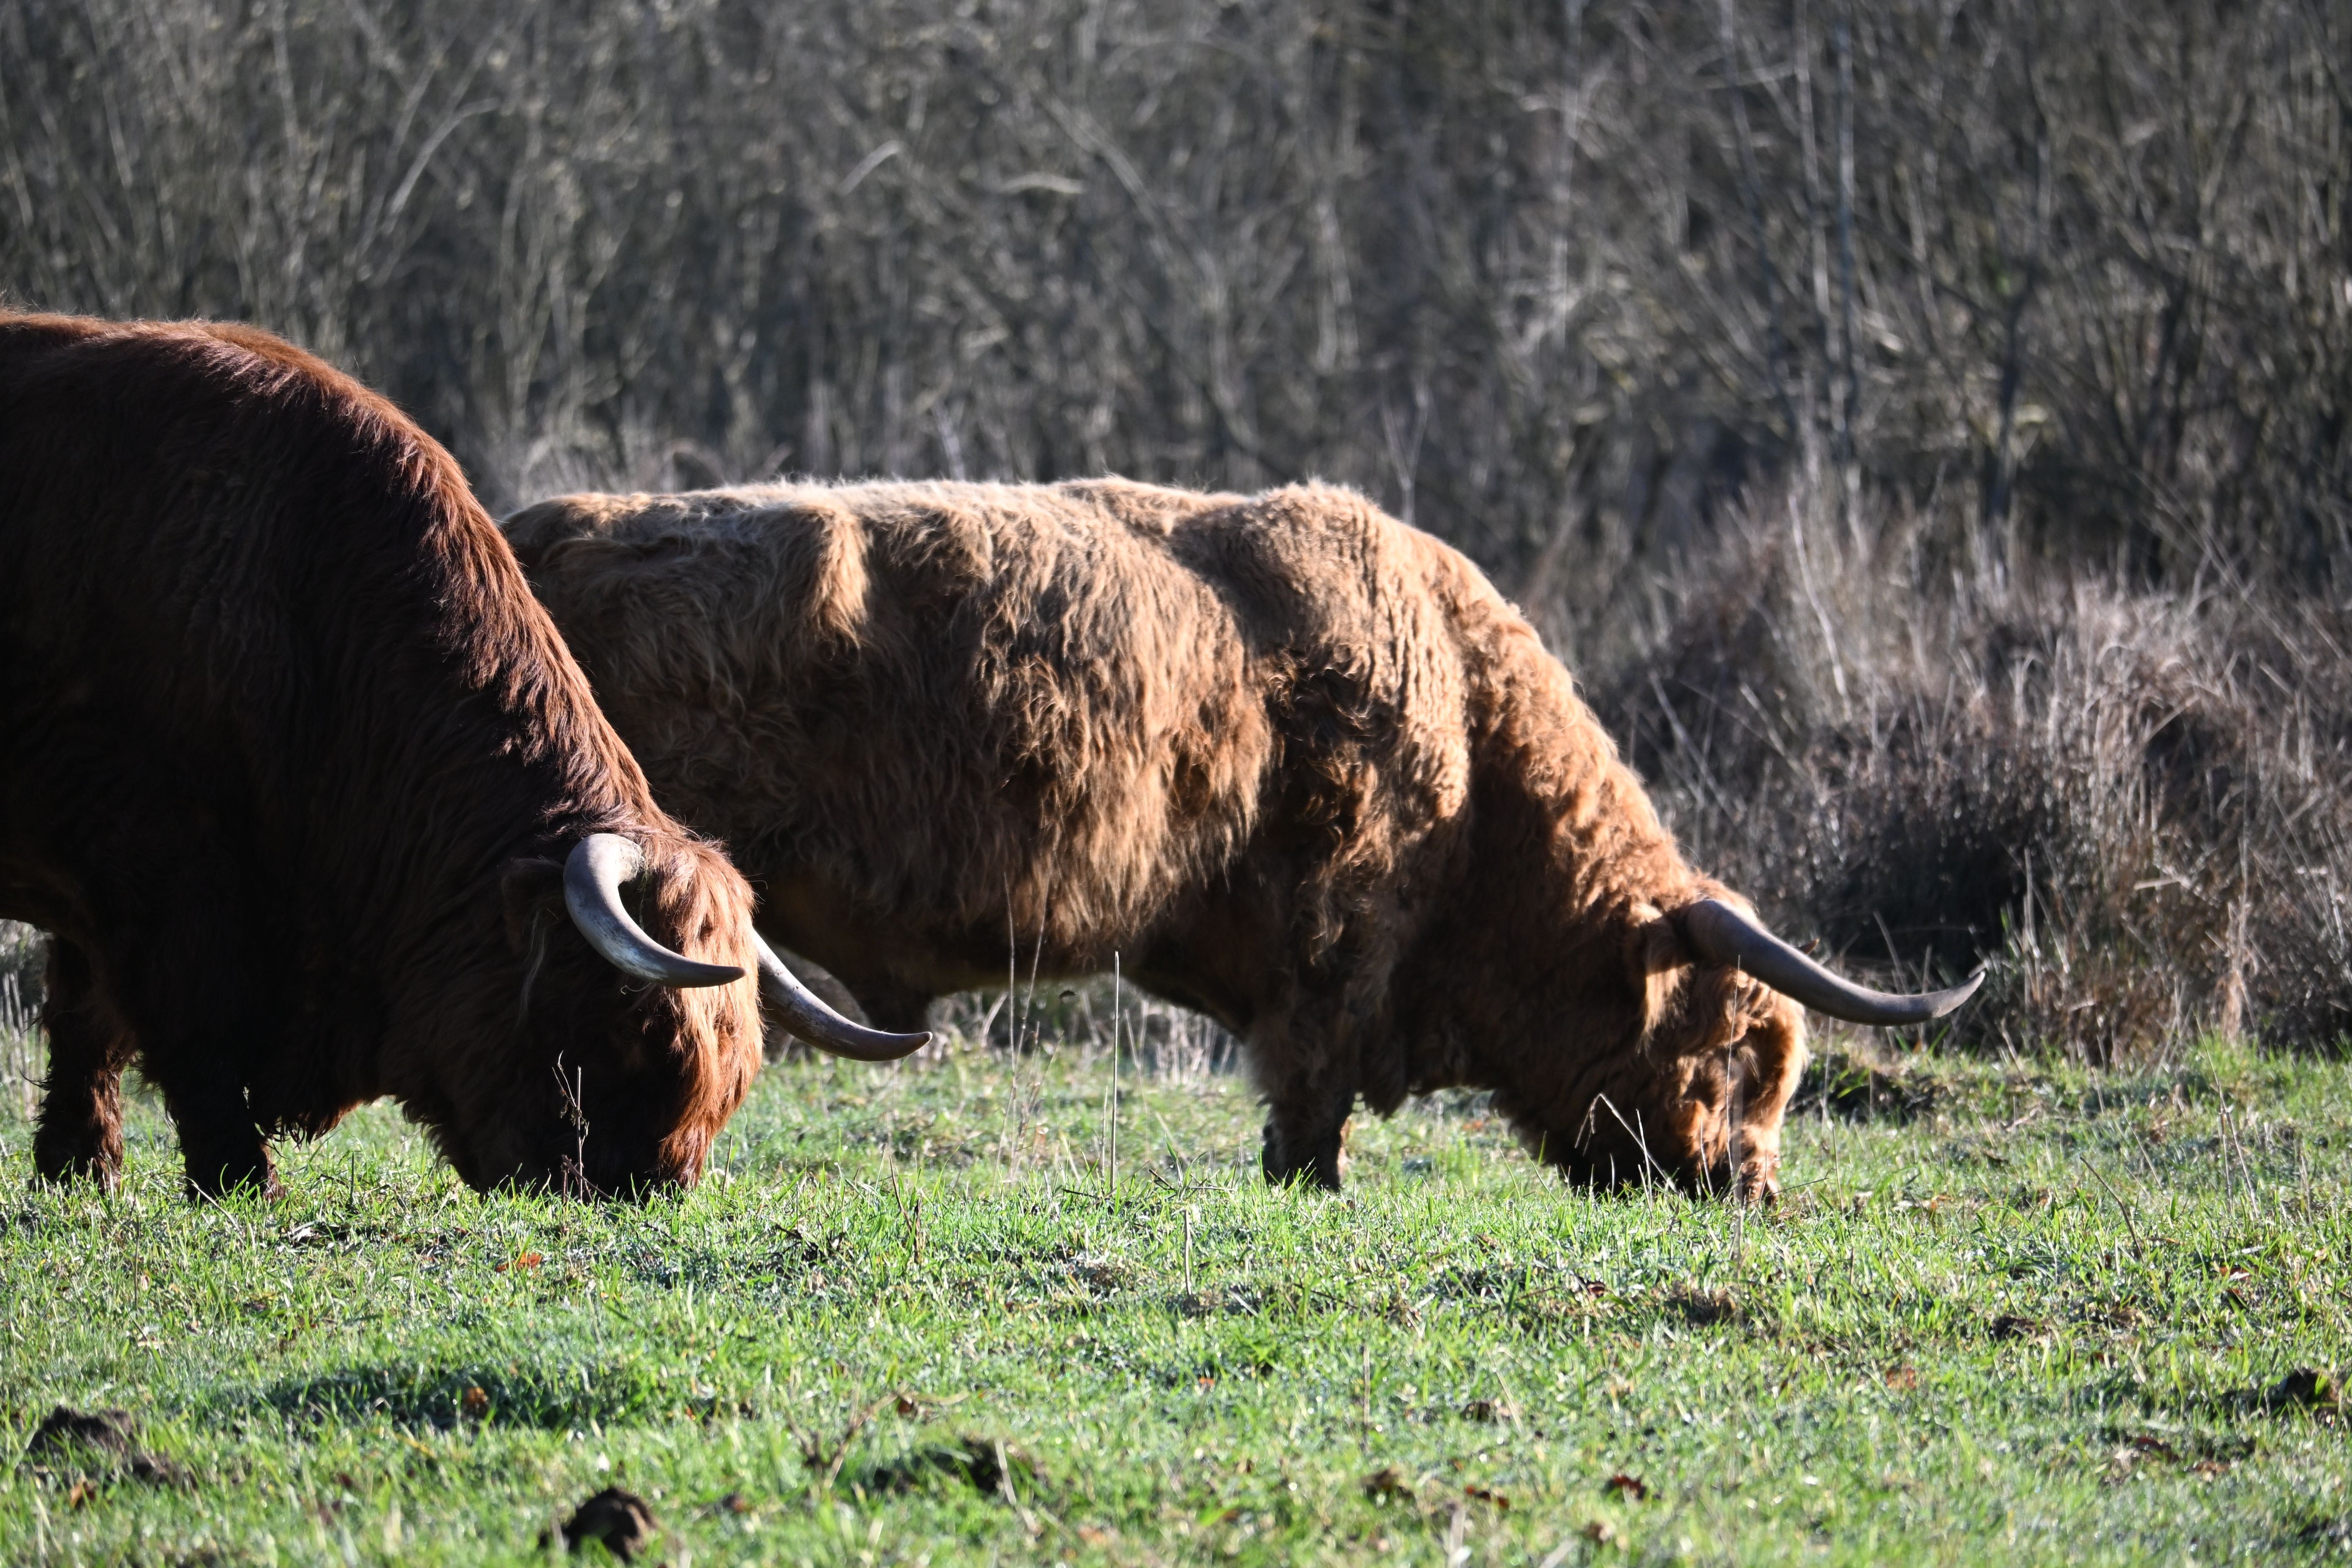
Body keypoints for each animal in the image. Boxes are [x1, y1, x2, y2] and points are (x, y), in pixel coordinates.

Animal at [0, 313, 923, 1200]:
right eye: (634, 1031)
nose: (647, 1184)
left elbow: (84, 1022)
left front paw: (79, 1164)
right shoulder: (154, 867)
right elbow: (181, 1029)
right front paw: (233, 1176)